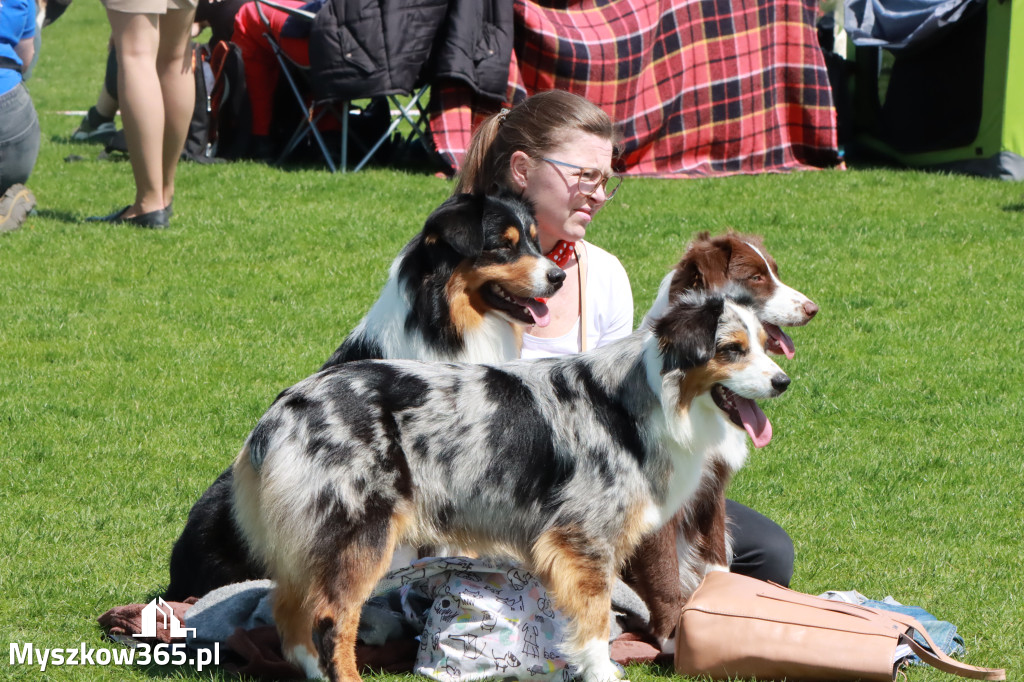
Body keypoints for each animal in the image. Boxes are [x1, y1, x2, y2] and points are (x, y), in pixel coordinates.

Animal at [234, 286, 790, 679]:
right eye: (731, 349)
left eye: (765, 346)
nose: (784, 382)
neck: (645, 401)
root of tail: (280, 412)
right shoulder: (583, 539)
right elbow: (594, 621)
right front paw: (600, 672)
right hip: (360, 533)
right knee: (329, 620)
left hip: (309, 544)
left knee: (290, 615)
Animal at [622, 229, 815, 647]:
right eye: (756, 278)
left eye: (775, 271)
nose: (813, 309)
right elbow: (664, 573)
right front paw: (673, 639)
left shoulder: (714, 484)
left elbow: (715, 558)